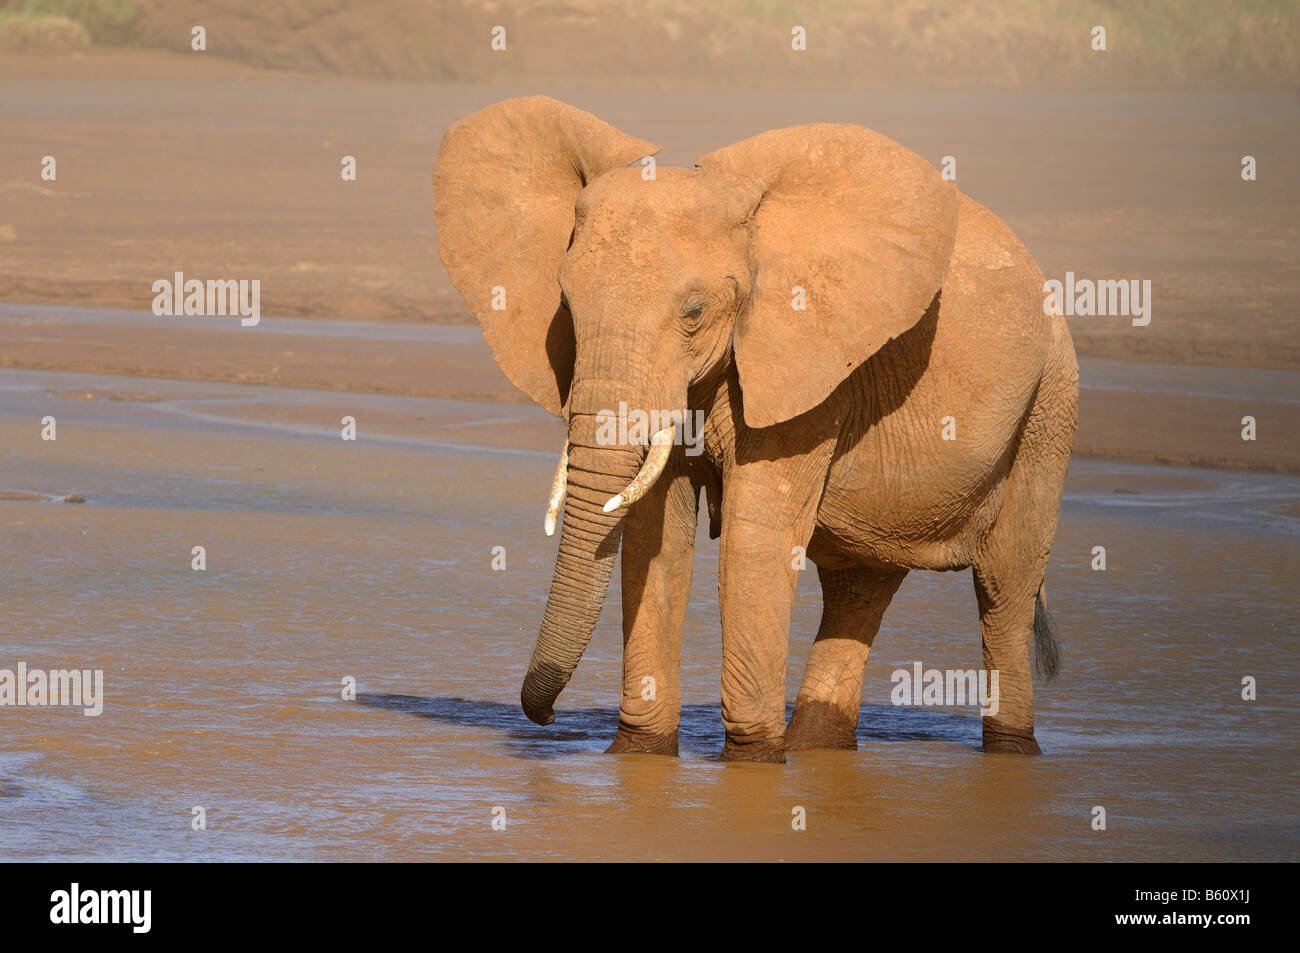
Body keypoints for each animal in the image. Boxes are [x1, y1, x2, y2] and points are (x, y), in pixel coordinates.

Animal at [434, 96, 1076, 764]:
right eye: (565, 305)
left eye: (694, 312)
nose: (547, 716)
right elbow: (655, 538)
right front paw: (638, 757)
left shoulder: (805, 369)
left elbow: (753, 542)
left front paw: (750, 764)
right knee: (859, 588)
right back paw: (818, 749)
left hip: (1048, 407)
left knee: (1005, 589)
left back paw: (1009, 752)